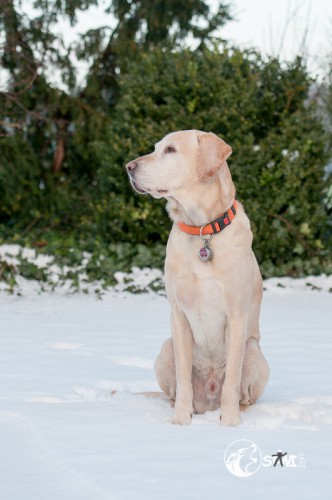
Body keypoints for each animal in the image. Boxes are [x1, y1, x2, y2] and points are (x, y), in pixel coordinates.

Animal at [126, 130, 268, 426]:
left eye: (170, 150)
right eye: (155, 148)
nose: (129, 167)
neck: (202, 229)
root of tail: (208, 402)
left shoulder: (236, 316)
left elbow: (232, 381)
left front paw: (230, 423)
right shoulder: (178, 315)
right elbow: (183, 380)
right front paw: (180, 421)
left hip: (254, 351)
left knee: (243, 394)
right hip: (166, 348)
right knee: (175, 388)